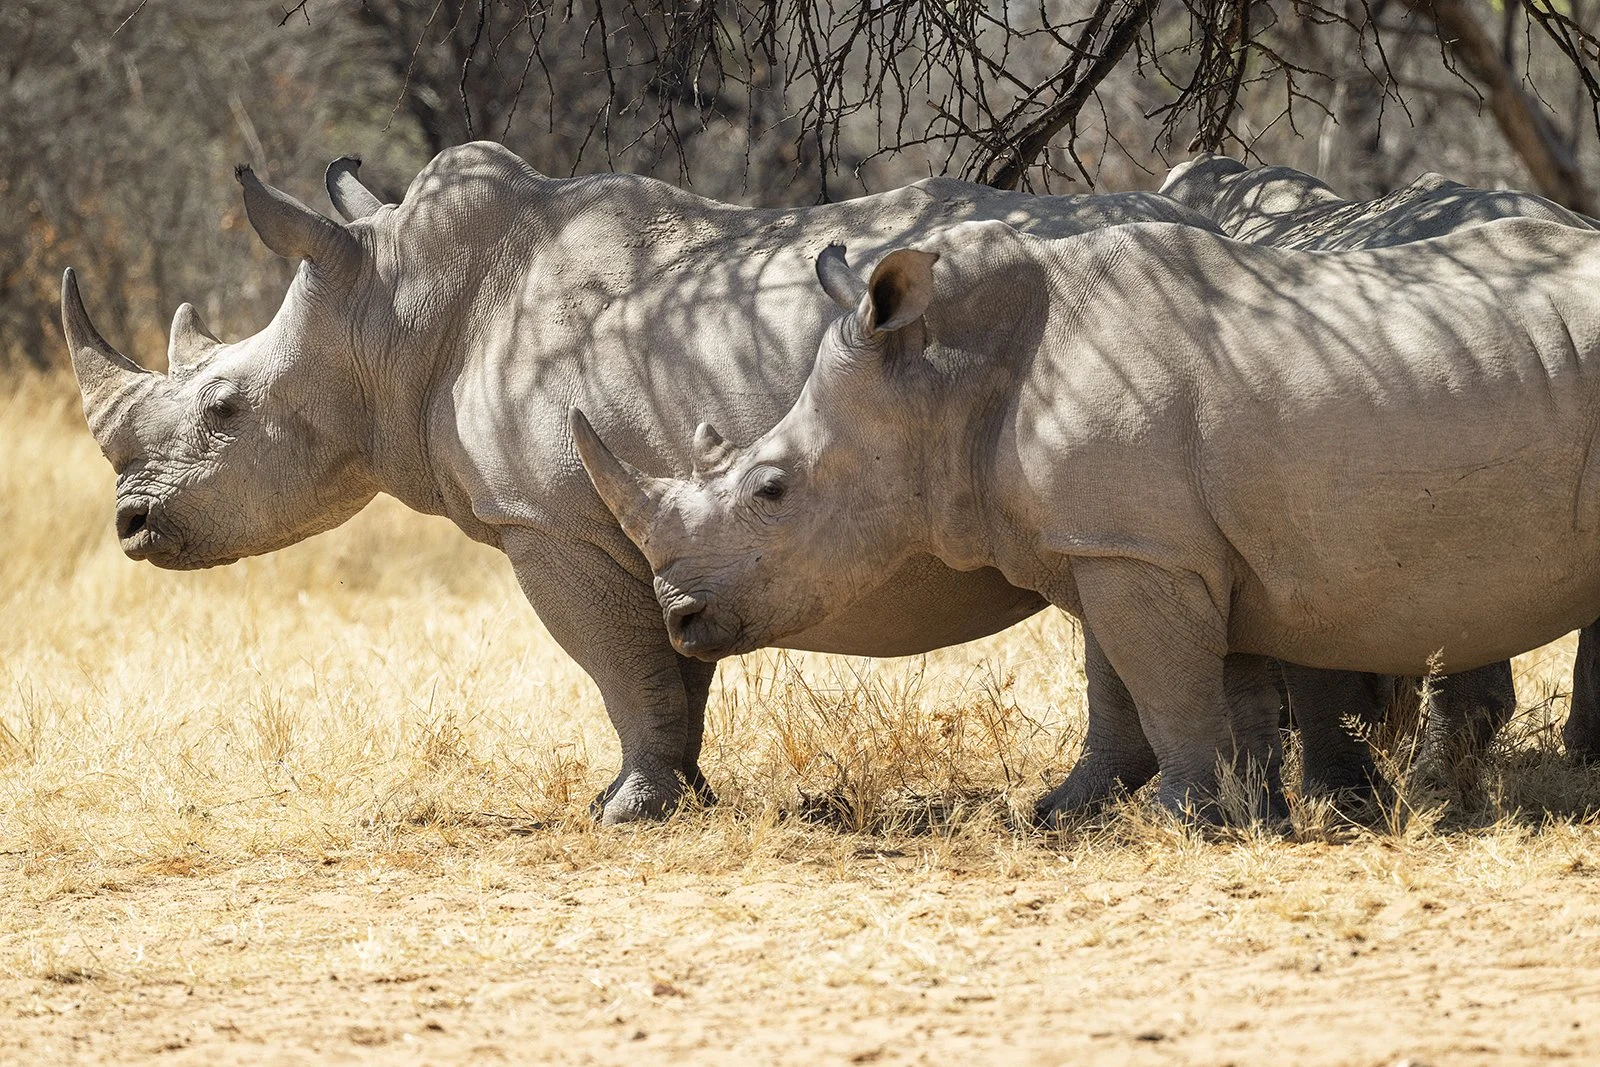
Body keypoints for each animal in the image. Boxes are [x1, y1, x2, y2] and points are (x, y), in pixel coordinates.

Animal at [62, 142, 1241, 823]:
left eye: (224, 410)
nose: (130, 525)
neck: (389, 311)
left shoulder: (551, 522)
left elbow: (618, 664)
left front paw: (623, 809)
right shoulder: (668, 513)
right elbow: (676, 664)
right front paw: (685, 789)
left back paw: (1078, 813)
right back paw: (1071, 811)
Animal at [574, 217, 1600, 820]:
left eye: (771, 490)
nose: (679, 618)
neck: (944, 375)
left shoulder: (1136, 549)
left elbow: (1162, 683)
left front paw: (1176, 818)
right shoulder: (1132, 542)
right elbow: (1154, 682)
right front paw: (1099, 811)